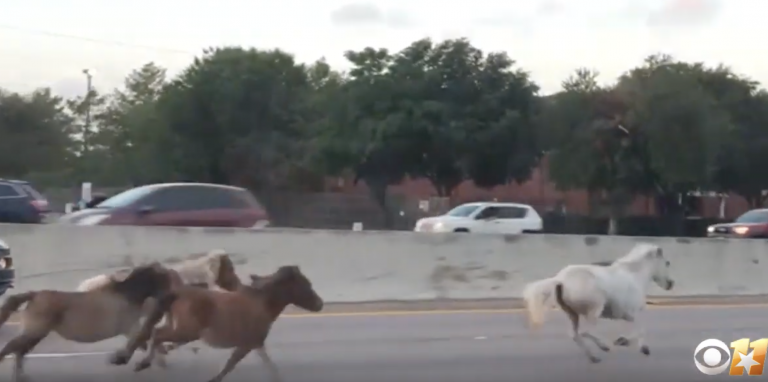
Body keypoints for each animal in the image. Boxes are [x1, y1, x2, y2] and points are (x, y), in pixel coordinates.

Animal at [0, 262, 176, 382]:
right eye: (165, 279)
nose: (171, 298)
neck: (127, 295)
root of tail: (34, 295)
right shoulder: (129, 327)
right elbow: (144, 339)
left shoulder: (131, 328)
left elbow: (146, 339)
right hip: (34, 332)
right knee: (12, 348)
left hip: (35, 334)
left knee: (19, 352)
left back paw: (21, 376)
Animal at [109, 266, 322, 382]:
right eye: (306, 285)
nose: (320, 304)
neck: (263, 304)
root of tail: (179, 292)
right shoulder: (247, 345)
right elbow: (230, 366)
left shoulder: (256, 344)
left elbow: (270, 366)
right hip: (187, 331)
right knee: (157, 335)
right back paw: (142, 363)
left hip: (179, 327)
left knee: (153, 332)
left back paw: (131, 358)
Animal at [520, 243, 672, 362]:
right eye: (667, 263)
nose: (671, 284)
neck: (634, 276)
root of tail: (560, 279)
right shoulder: (630, 313)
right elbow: (641, 329)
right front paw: (635, 346)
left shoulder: (627, 315)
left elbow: (639, 329)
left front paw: (628, 343)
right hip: (594, 309)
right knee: (585, 331)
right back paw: (604, 347)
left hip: (572, 313)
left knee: (575, 335)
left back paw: (594, 357)